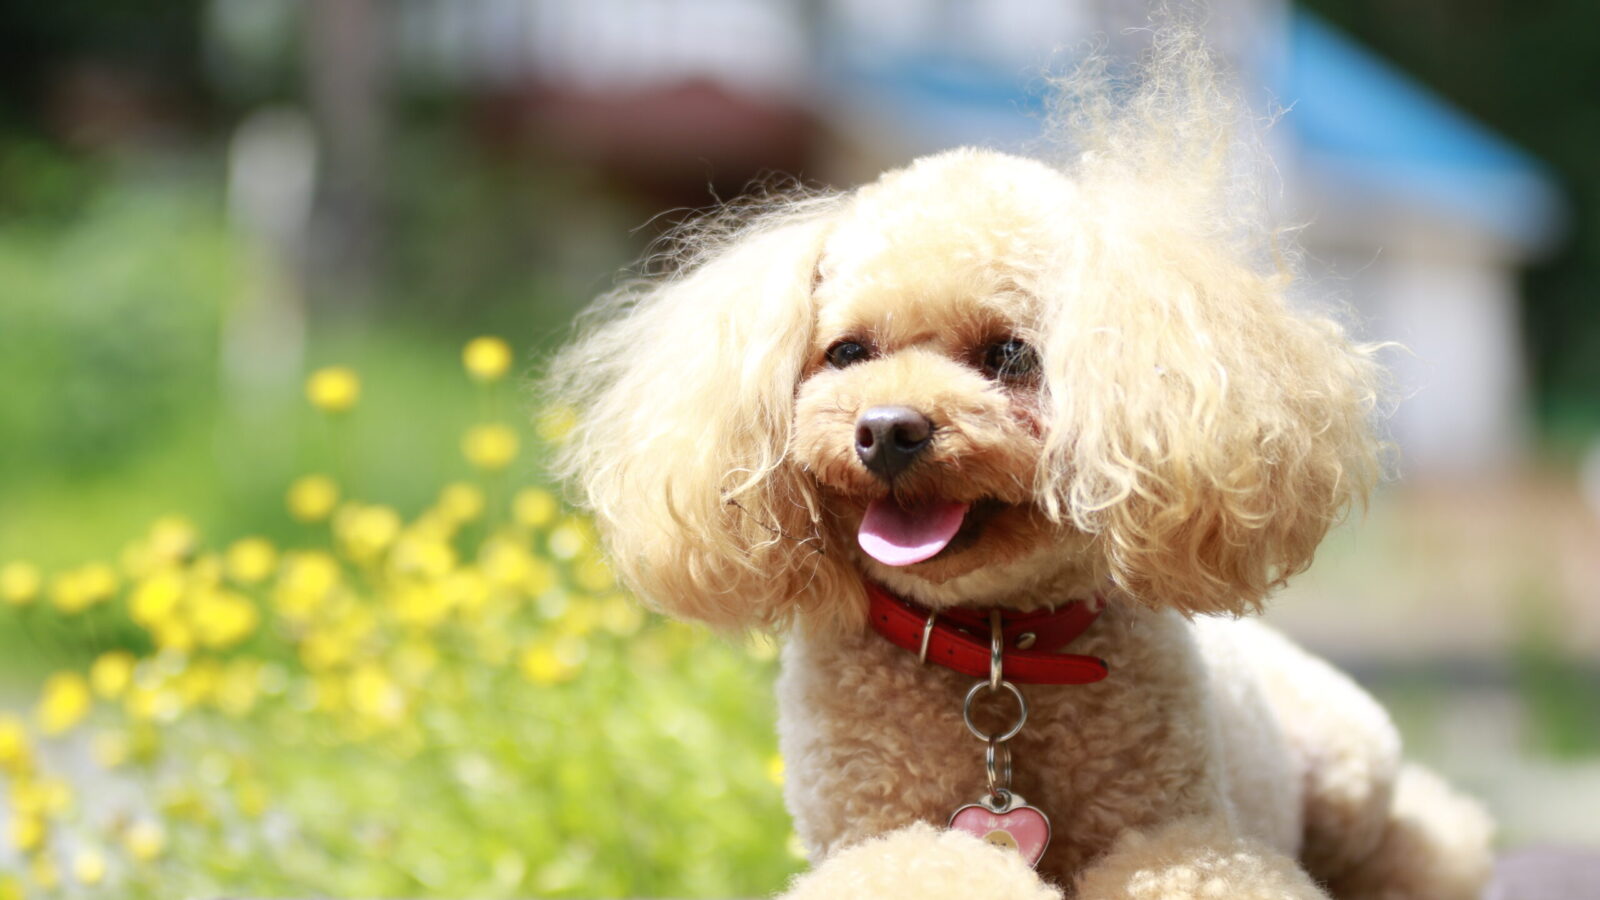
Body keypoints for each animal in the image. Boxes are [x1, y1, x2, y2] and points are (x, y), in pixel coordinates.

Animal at [547, 40, 1484, 896]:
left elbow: (1185, 865)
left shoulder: (1176, 829)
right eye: (847, 353)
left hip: (1353, 761)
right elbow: (934, 863)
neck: (994, 648)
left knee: (1421, 833)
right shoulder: (873, 836)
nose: (887, 431)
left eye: (1009, 355)